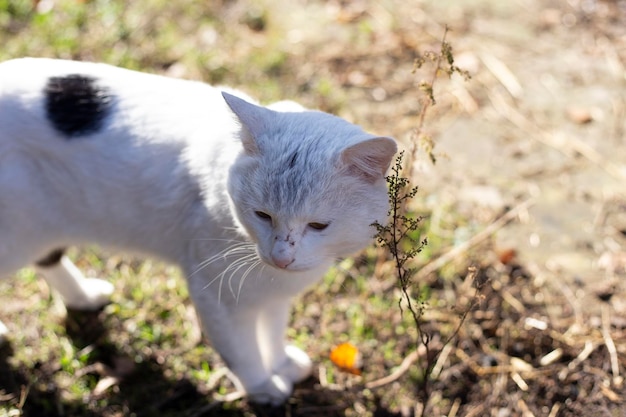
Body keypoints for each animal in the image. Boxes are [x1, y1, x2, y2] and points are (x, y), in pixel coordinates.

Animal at [0, 57, 394, 404]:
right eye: (262, 215)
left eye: (318, 225)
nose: (281, 257)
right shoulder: (216, 294)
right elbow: (242, 350)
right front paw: (262, 387)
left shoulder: (272, 292)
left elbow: (272, 328)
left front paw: (281, 363)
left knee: (47, 258)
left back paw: (83, 296)